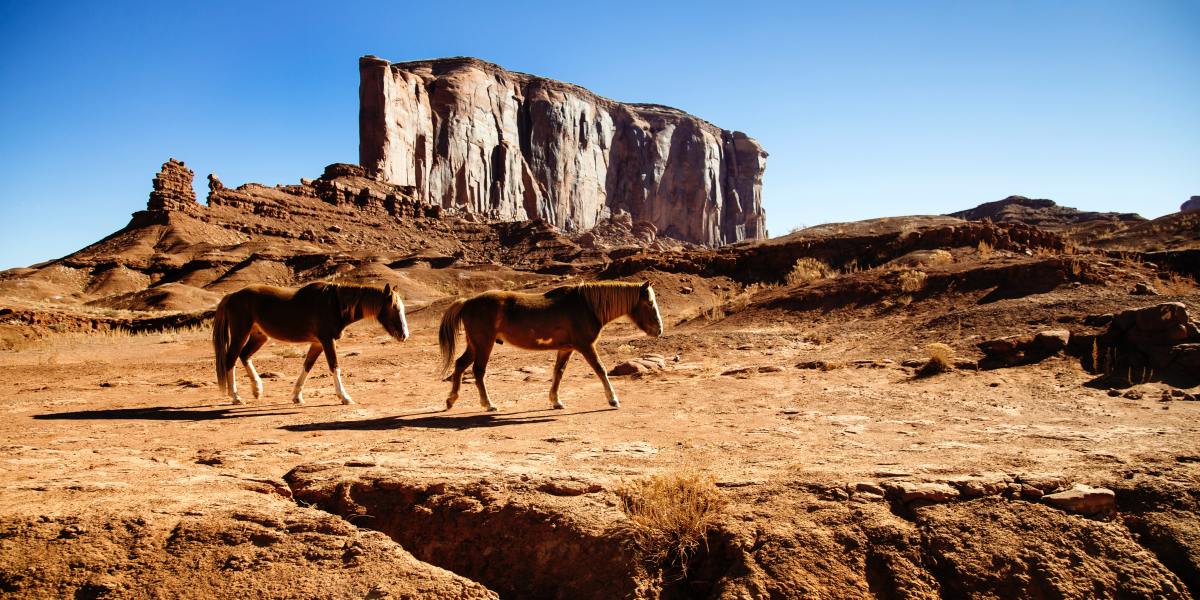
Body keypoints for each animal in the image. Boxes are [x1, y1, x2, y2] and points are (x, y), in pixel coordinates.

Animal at [212, 282, 409, 405]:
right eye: (394, 308)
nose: (404, 335)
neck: (334, 305)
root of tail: (232, 295)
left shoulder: (318, 343)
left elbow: (307, 366)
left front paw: (297, 396)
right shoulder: (327, 340)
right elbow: (334, 366)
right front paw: (344, 397)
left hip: (259, 336)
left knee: (245, 355)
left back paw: (257, 389)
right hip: (241, 333)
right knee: (231, 359)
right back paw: (236, 397)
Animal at [437, 281, 663, 412]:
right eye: (649, 303)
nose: (659, 330)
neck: (586, 306)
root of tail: (467, 302)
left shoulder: (566, 348)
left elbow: (558, 372)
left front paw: (556, 401)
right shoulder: (586, 346)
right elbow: (600, 369)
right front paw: (613, 400)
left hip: (475, 344)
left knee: (460, 365)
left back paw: (451, 400)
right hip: (484, 344)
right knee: (478, 371)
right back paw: (489, 404)